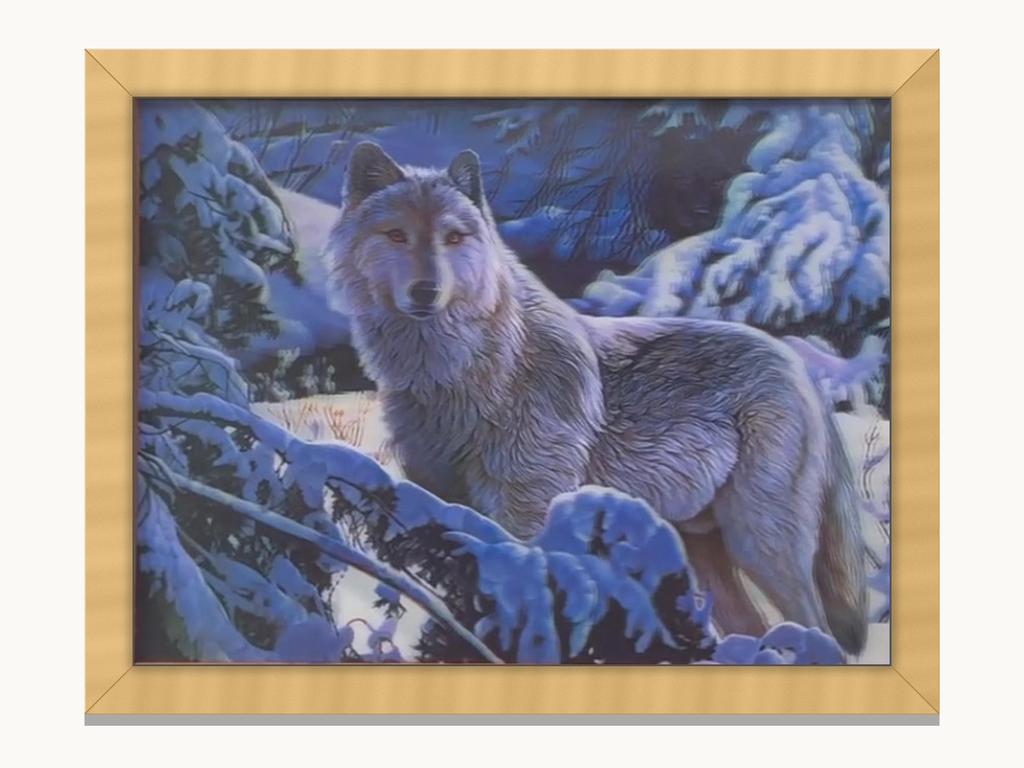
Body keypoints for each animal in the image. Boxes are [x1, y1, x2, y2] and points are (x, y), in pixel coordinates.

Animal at [324, 142, 868, 655]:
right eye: (396, 235)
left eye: (453, 238)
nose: (426, 291)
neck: (458, 373)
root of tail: (797, 365)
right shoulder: (443, 504)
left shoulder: (528, 513)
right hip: (705, 551)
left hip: (759, 543)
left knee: (821, 634)